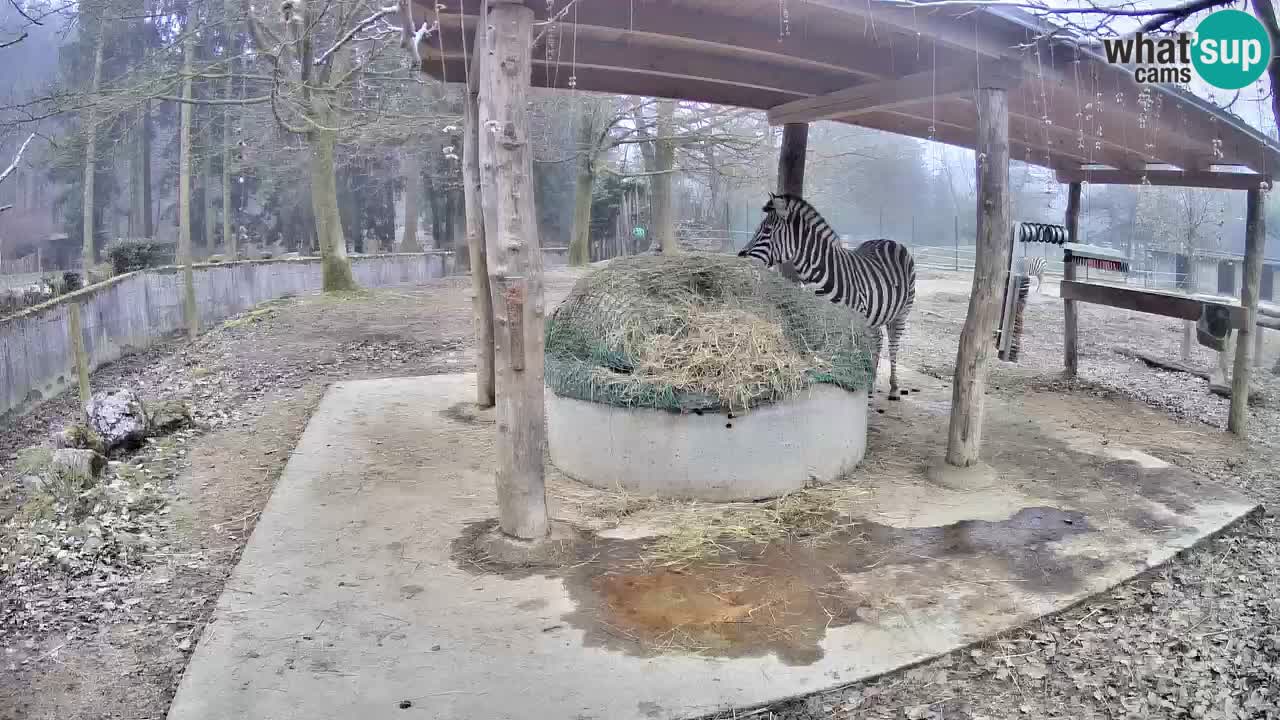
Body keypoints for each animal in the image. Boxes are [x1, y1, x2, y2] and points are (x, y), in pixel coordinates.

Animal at [737, 193, 916, 394]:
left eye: (767, 230)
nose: (741, 256)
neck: (822, 272)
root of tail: (889, 241)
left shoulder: (851, 319)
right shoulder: (822, 317)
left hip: (902, 313)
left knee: (893, 345)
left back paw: (893, 384)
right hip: (874, 315)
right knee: (878, 338)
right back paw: (872, 379)